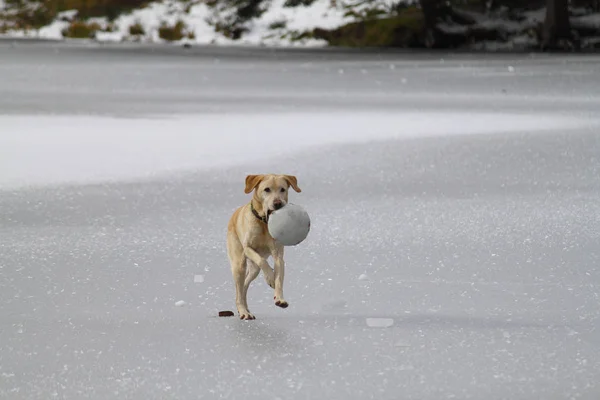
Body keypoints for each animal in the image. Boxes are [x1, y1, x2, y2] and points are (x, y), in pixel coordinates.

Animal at [225, 173, 300, 320]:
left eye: (282, 189)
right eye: (267, 189)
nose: (278, 203)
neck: (264, 223)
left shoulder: (278, 255)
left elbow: (279, 278)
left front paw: (280, 298)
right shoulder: (248, 248)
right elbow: (262, 261)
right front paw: (270, 277)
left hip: (253, 270)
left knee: (244, 286)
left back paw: (245, 309)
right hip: (238, 264)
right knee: (239, 290)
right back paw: (243, 311)